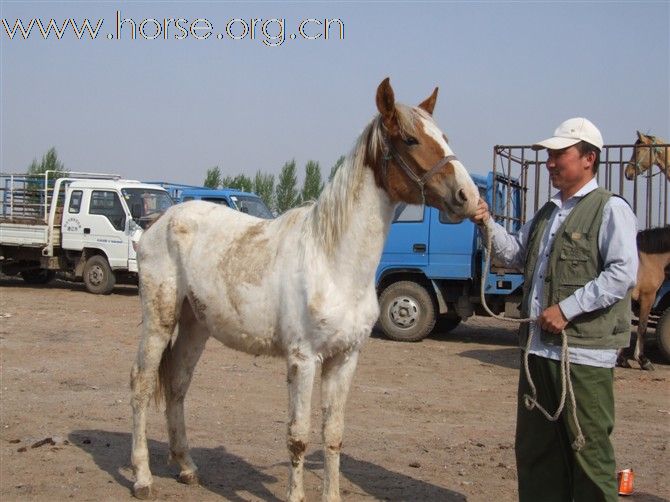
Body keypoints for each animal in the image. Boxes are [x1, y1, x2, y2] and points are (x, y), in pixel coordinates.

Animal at [129, 78, 480, 498]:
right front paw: (296, 495)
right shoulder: (304, 359)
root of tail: (160, 220)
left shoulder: (344, 359)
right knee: (142, 384)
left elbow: (333, 435)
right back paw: (142, 477)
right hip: (159, 320)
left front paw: (331, 495)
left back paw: (186, 467)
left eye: (444, 137)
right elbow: (298, 436)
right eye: (411, 139)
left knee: (178, 384)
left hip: (196, 325)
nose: (469, 197)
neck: (333, 264)